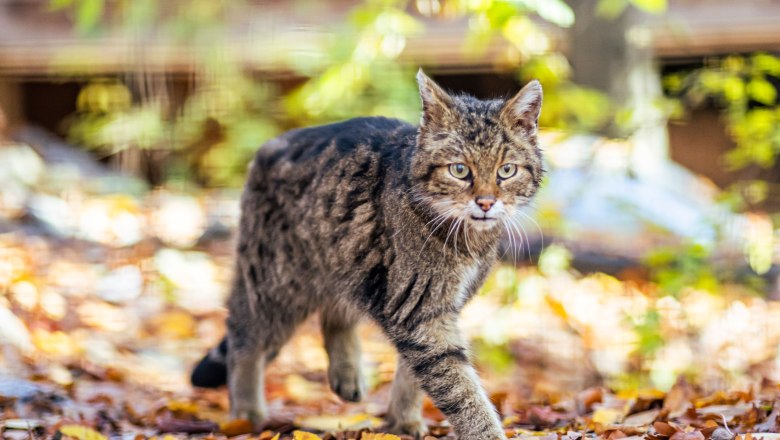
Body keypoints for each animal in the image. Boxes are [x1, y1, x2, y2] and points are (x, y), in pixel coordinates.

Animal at [190, 70, 544, 438]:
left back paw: (345, 374)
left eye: (507, 170)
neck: (467, 240)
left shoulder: (436, 309)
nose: (486, 202)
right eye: (459, 170)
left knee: (334, 312)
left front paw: (404, 420)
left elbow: (416, 375)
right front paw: (484, 431)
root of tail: (271, 145)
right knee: (243, 335)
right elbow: (457, 385)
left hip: (351, 259)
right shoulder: (420, 312)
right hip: (276, 283)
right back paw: (245, 412)